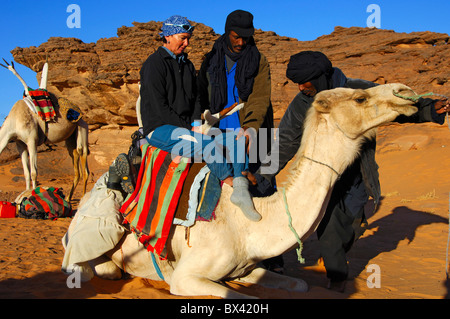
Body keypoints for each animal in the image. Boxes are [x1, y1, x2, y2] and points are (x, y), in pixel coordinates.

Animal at [0, 59, 89, 200]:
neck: (14, 121)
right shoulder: (20, 143)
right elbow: (26, 173)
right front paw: (23, 195)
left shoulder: (32, 140)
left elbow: (33, 172)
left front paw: (32, 194)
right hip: (70, 138)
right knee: (76, 163)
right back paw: (68, 198)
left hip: (82, 128)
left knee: (83, 160)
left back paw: (83, 197)